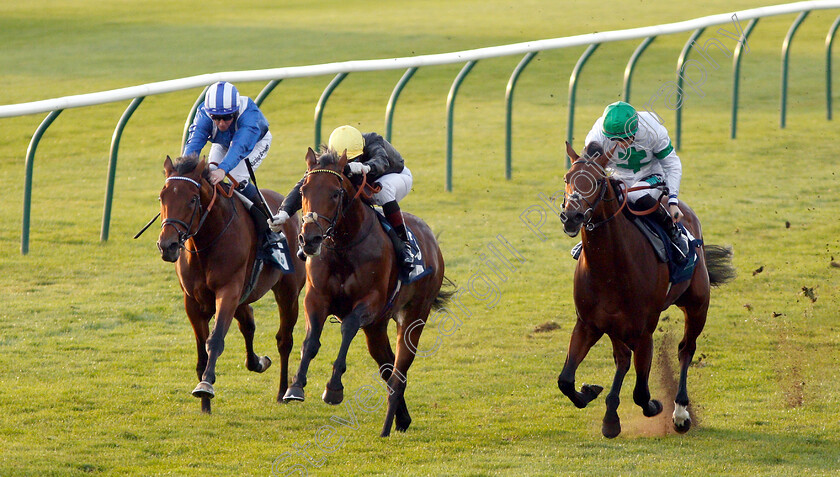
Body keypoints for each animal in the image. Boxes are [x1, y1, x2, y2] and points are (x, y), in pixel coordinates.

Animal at [157, 155, 306, 412]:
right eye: (162, 197)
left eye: (193, 199)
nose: (168, 245)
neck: (206, 242)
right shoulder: (193, 302)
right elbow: (202, 351)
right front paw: (205, 406)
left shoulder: (228, 292)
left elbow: (215, 340)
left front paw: (205, 385)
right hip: (244, 296)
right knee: (248, 323)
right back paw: (258, 362)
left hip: (288, 291)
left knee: (284, 340)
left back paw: (282, 391)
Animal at [556, 140, 736, 436]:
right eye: (567, 178)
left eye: (597, 180)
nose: (571, 216)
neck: (610, 267)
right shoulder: (588, 324)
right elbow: (566, 380)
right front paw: (592, 393)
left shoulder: (643, 330)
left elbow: (641, 392)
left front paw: (656, 406)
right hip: (616, 326)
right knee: (622, 359)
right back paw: (611, 413)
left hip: (697, 304)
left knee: (686, 349)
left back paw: (680, 412)